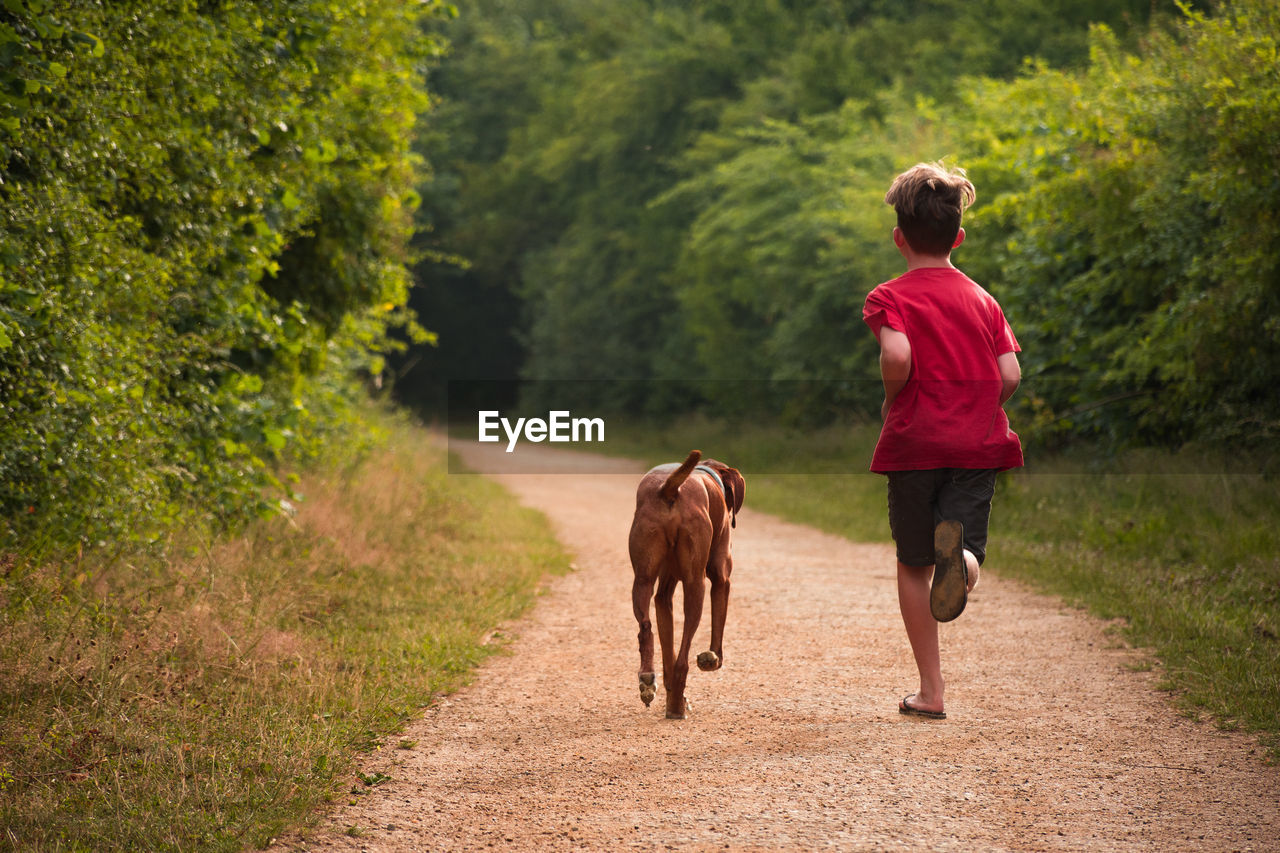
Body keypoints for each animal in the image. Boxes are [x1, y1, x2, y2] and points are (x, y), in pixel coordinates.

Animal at [627, 448, 747, 712]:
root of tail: (669, 489)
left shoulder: (663, 597)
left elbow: (667, 656)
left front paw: (673, 694)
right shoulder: (722, 578)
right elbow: (717, 639)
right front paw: (710, 659)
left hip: (642, 579)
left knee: (646, 629)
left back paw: (648, 679)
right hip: (696, 585)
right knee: (683, 660)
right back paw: (676, 709)